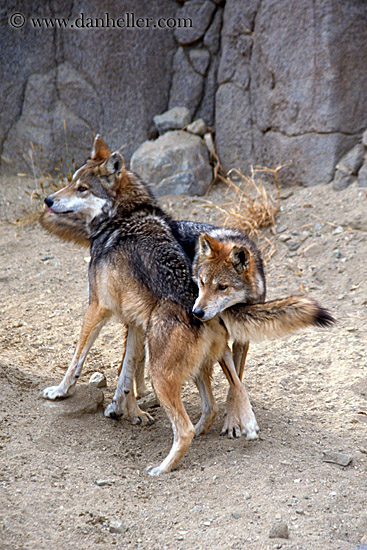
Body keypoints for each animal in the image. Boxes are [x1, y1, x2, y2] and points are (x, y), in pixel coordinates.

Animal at [41, 137, 336, 474]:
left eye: (81, 188)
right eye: (71, 183)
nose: (49, 200)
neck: (124, 215)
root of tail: (206, 315)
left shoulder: (96, 307)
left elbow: (77, 359)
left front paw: (59, 392)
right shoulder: (134, 321)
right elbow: (125, 371)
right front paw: (120, 407)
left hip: (164, 372)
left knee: (185, 428)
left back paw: (162, 467)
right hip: (192, 352)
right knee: (221, 394)